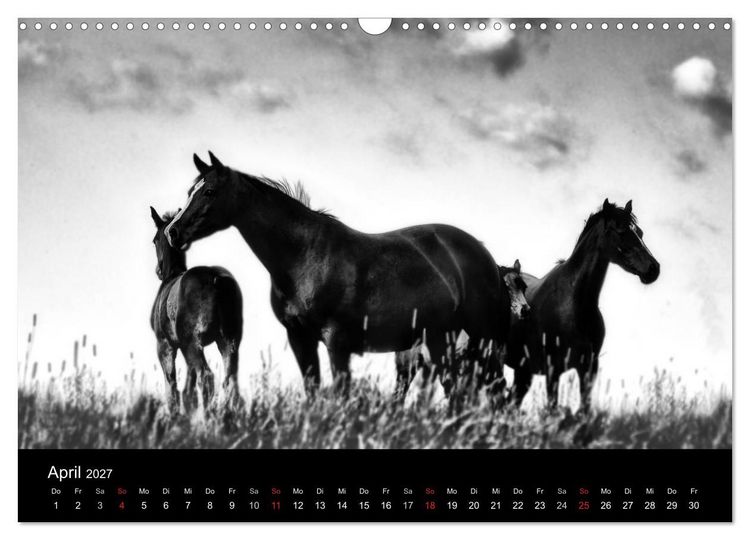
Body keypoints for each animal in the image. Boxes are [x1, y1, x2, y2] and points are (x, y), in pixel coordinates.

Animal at [150, 206, 243, 412]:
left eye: (154, 240)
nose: (158, 270)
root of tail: (216, 279)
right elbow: (188, 391)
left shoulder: (164, 346)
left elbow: (172, 388)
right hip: (228, 342)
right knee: (230, 383)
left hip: (192, 344)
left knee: (207, 377)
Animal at [164, 152, 509, 396]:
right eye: (190, 190)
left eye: (209, 191)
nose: (173, 231)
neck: (305, 257)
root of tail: (483, 255)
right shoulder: (300, 338)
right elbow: (314, 392)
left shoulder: (336, 341)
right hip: (440, 340)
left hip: (482, 339)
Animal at [507, 199, 660, 406]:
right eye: (620, 230)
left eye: (640, 232)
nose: (653, 269)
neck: (573, 304)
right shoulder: (553, 369)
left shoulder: (588, 368)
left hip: (523, 372)